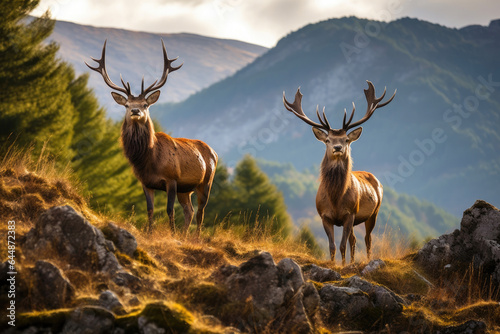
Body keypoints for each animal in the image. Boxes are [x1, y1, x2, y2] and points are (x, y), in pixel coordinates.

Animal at [86, 40, 219, 234]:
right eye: (127, 104)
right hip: (185, 189)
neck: (149, 160)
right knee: (190, 210)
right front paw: (150, 232)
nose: (135, 110)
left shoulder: (172, 179)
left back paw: (195, 237)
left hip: (206, 181)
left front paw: (172, 233)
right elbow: (150, 209)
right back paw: (185, 235)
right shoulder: (146, 182)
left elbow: (169, 209)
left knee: (201, 211)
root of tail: (214, 152)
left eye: (145, 104)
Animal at [286, 81, 394, 266]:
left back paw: (367, 259)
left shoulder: (349, 214)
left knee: (367, 239)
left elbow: (342, 245)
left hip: (374, 212)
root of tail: (376, 179)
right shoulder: (324, 216)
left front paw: (343, 265)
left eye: (346, 139)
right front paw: (335, 264)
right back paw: (352, 261)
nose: (337, 147)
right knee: (354, 240)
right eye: (328, 139)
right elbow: (333, 246)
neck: (335, 198)